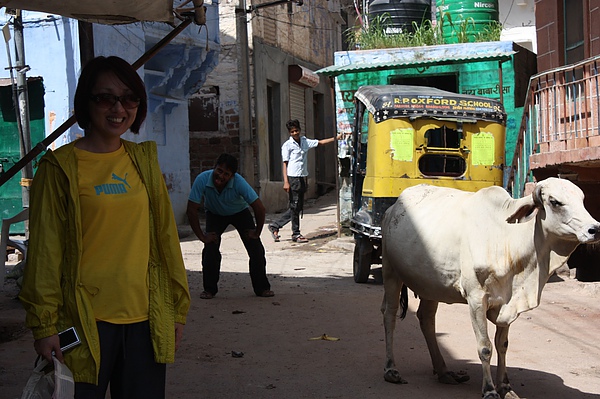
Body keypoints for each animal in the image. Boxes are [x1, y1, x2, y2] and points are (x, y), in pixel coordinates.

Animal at [380, 179, 600, 399]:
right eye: (554, 202)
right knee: (389, 314)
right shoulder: (476, 299)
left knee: (426, 319)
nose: (595, 229)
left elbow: (502, 345)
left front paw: (505, 387)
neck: (509, 238)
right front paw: (490, 389)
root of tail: (392, 208)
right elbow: (485, 347)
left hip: (431, 285)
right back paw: (391, 369)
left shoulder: (508, 302)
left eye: (582, 199)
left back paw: (443, 371)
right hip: (391, 272)